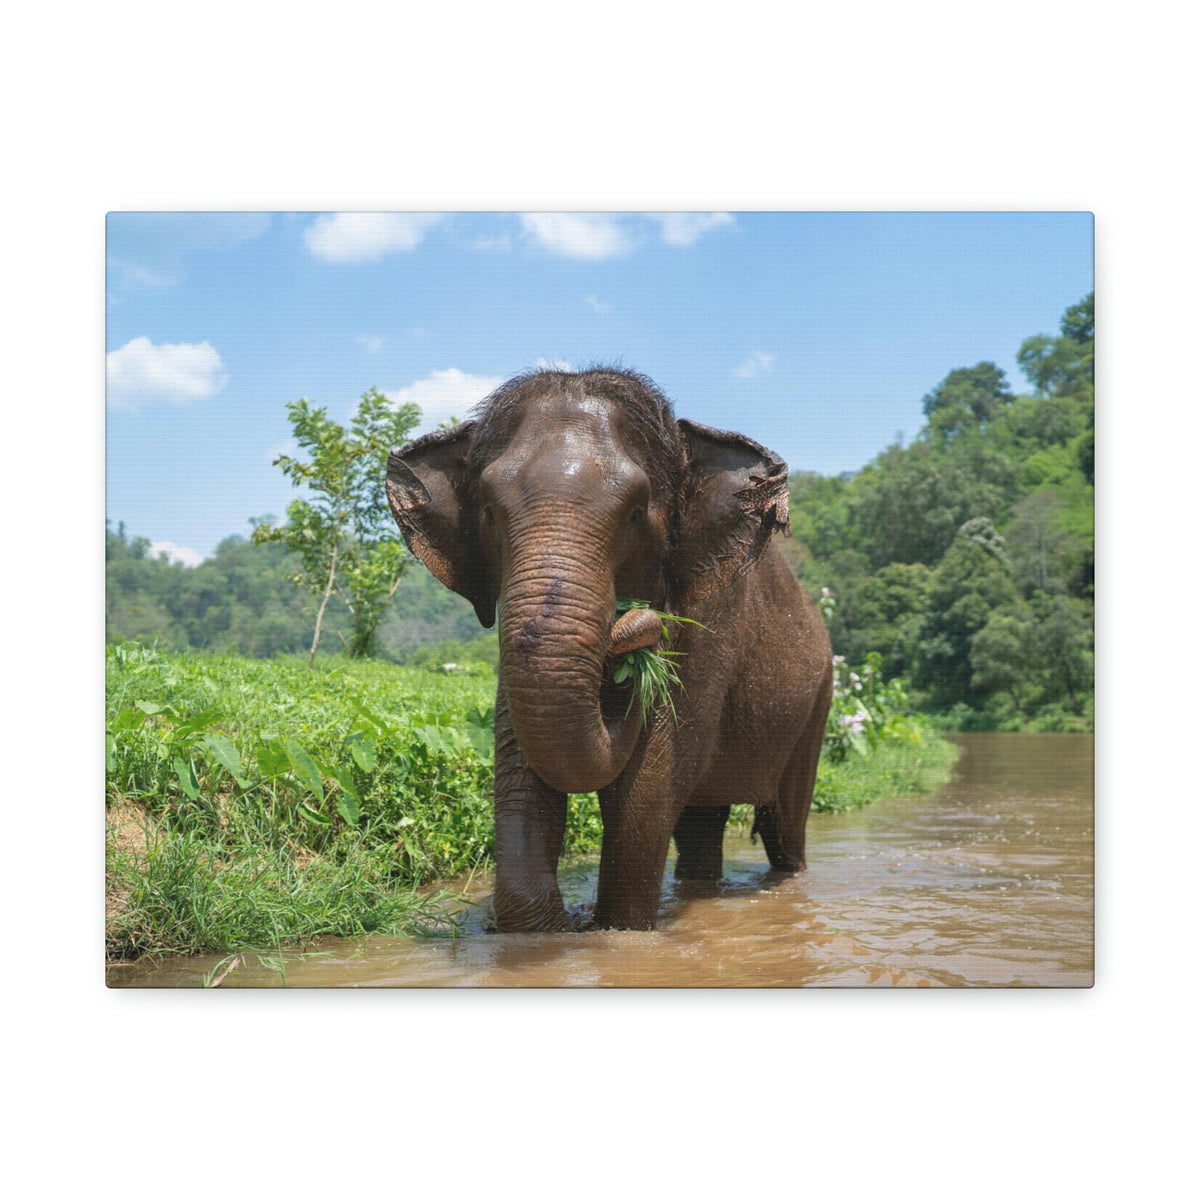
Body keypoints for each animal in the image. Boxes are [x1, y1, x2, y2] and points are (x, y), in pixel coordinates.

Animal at [386, 367, 832, 931]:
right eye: (487, 510)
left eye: (637, 513)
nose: (634, 625)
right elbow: (523, 775)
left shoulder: (712, 624)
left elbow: (646, 790)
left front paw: (616, 932)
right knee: (701, 825)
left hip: (817, 703)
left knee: (784, 825)